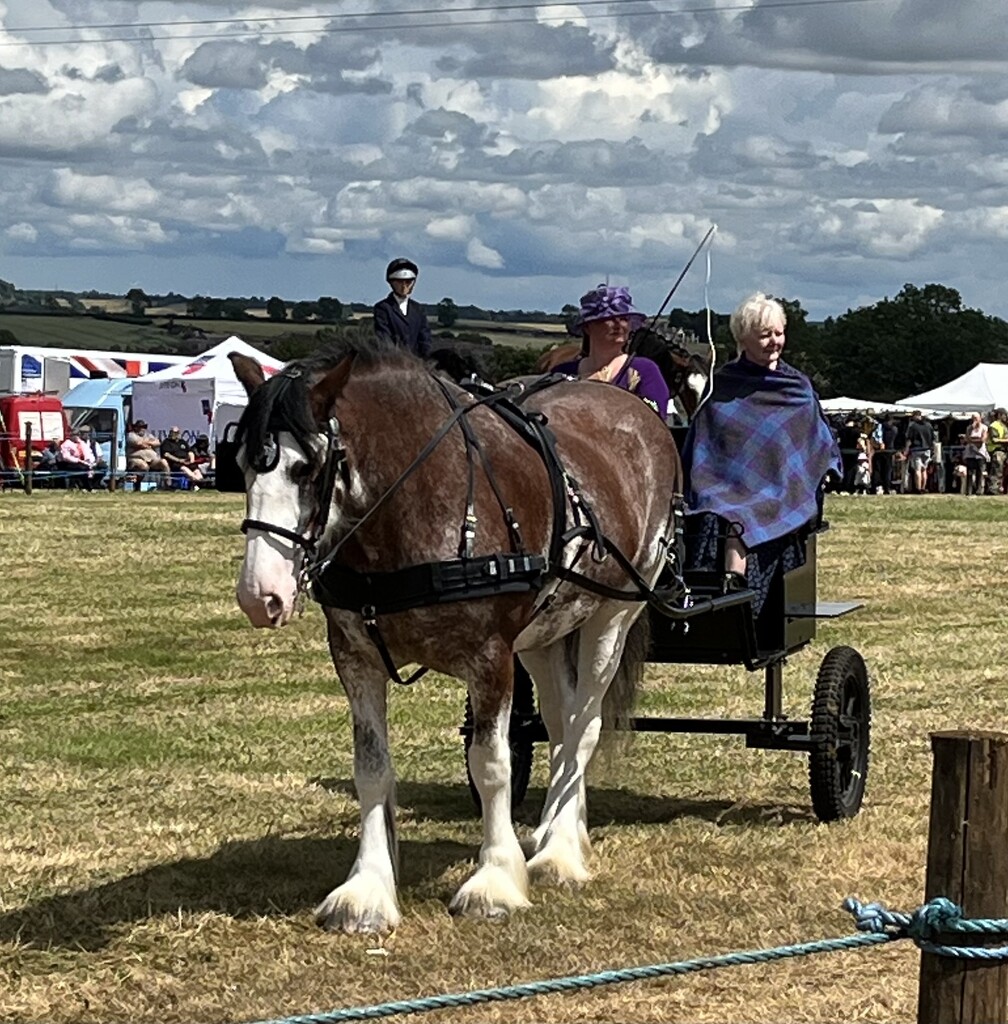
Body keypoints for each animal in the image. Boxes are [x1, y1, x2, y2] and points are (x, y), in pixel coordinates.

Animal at [230, 339, 684, 933]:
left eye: (305, 467)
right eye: (242, 464)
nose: (259, 595)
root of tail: (635, 410)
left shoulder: (490, 657)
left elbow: (490, 764)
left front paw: (494, 881)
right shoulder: (354, 657)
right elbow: (371, 768)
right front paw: (367, 889)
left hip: (613, 614)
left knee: (585, 727)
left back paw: (560, 852)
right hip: (541, 634)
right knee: (562, 724)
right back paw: (555, 830)